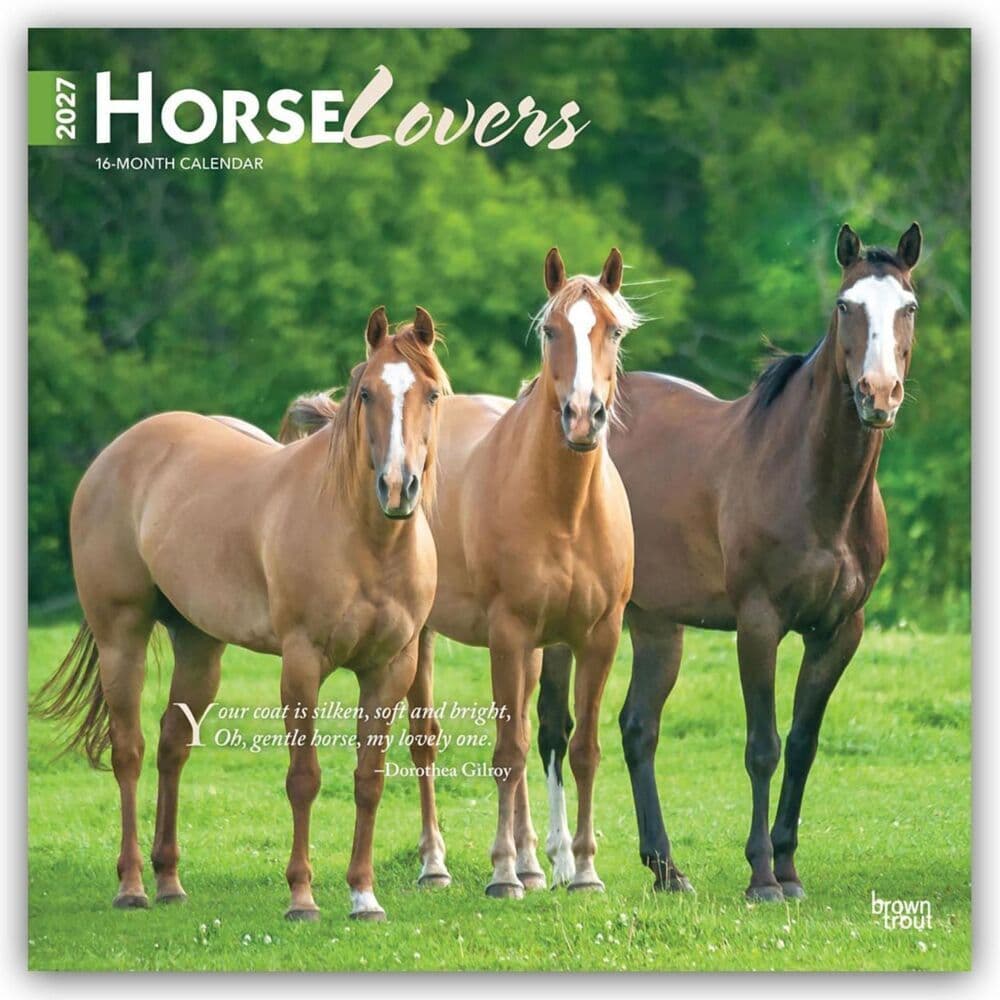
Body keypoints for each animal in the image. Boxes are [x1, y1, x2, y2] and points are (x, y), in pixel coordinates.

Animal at [32, 306, 451, 922]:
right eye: (367, 393)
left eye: (433, 394)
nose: (397, 487)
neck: (366, 541)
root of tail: (116, 453)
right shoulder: (301, 664)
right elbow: (304, 778)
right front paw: (302, 897)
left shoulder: (390, 669)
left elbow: (369, 780)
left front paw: (363, 895)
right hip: (121, 640)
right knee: (129, 752)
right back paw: (132, 886)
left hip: (199, 647)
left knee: (172, 747)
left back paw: (169, 880)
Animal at [281, 249, 640, 897]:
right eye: (551, 331)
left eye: (615, 331)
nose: (581, 418)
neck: (566, 508)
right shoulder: (509, 632)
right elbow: (506, 753)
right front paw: (501, 872)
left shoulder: (597, 637)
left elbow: (582, 750)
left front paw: (582, 870)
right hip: (423, 639)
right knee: (428, 744)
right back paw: (437, 863)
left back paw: (533, 861)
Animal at [536, 223, 923, 901]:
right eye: (845, 306)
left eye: (908, 307)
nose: (878, 394)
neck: (814, 482)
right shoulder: (759, 624)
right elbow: (763, 746)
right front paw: (763, 877)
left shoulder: (839, 631)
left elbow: (803, 744)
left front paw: (789, 867)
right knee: (556, 729)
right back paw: (561, 865)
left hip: (657, 625)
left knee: (638, 728)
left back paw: (666, 869)